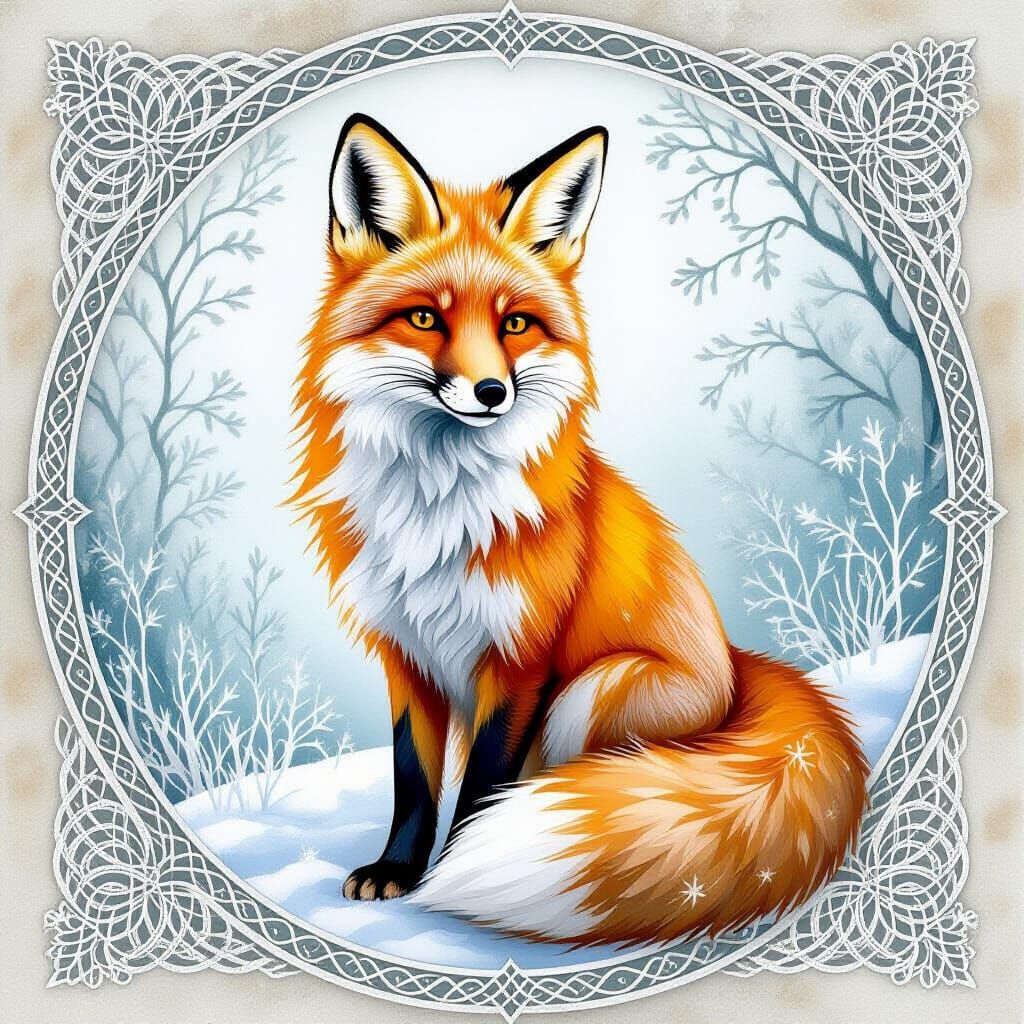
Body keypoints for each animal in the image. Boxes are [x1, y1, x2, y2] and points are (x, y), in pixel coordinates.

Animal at [289, 113, 869, 947]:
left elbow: (480, 785)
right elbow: (413, 779)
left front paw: (456, 873)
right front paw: (397, 870)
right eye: (426, 317)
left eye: (515, 325)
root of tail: (738, 669)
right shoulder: (407, 653)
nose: (490, 391)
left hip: (595, 690)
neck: (437, 510)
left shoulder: (521, 663)